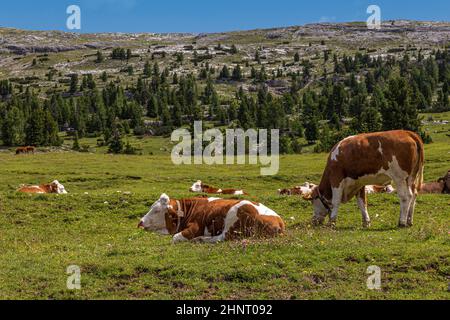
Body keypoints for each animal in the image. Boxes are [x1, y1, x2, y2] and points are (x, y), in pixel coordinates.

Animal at [138, 194, 284, 244]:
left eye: (157, 210)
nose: (140, 222)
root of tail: (280, 221)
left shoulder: (196, 227)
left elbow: (175, 237)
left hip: (235, 215)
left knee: (222, 237)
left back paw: (200, 239)